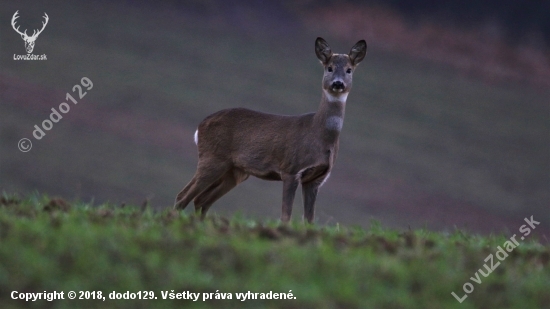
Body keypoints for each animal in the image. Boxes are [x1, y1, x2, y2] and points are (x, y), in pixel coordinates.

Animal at [175, 38, 368, 221]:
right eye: (329, 68)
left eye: (349, 70)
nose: (338, 83)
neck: (319, 134)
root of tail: (200, 127)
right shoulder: (291, 169)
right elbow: (286, 215)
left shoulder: (316, 179)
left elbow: (309, 219)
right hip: (212, 158)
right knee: (183, 196)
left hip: (234, 171)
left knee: (201, 199)